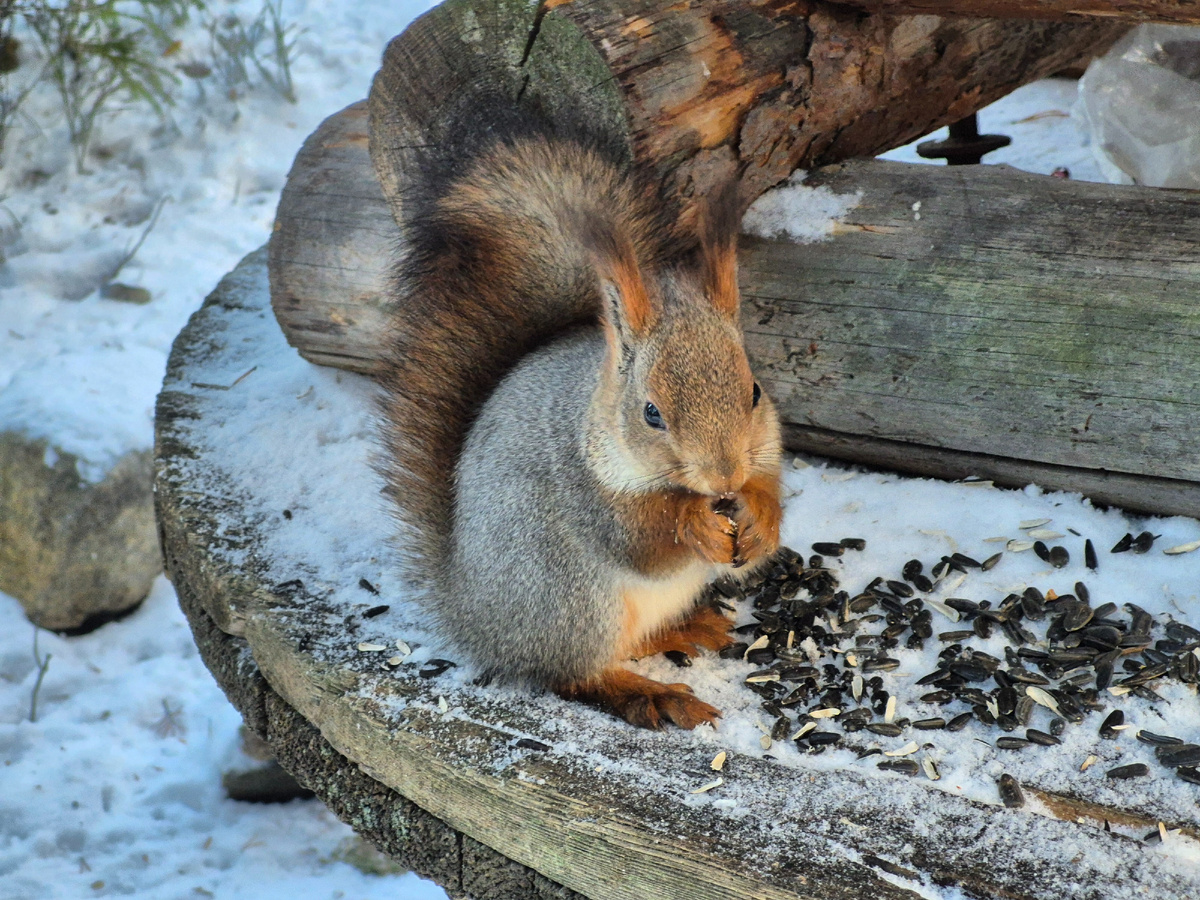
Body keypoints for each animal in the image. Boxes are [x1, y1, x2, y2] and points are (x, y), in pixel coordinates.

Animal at [377, 97, 783, 730]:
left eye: (756, 391)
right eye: (651, 413)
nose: (723, 478)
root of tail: (473, 615)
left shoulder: (763, 452)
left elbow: (769, 488)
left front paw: (761, 519)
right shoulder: (585, 493)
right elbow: (642, 539)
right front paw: (693, 523)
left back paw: (688, 628)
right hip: (569, 599)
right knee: (573, 672)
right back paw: (651, 694)